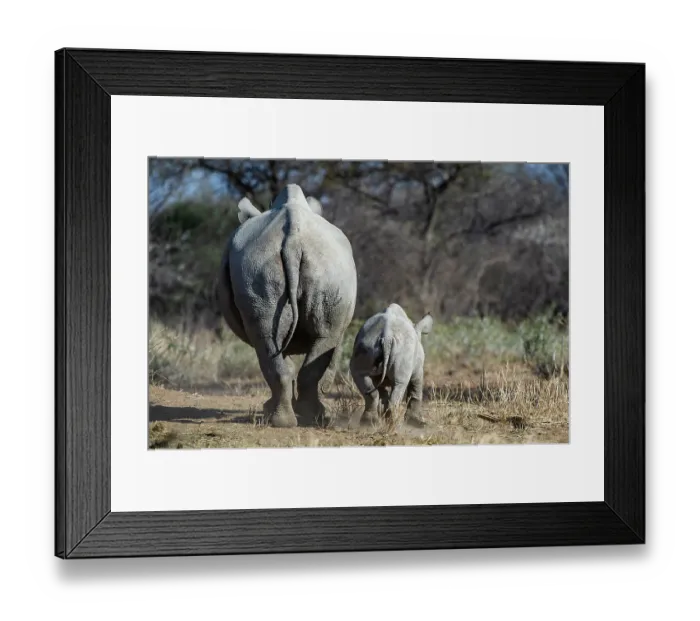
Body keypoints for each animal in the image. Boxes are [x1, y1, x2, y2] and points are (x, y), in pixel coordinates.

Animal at [218, 184, 357, 428]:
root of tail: (294, 237)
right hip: (325, 267)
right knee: (316, 338)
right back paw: (305, 418)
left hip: (257, 263)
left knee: (269, 339)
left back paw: (286, 419)